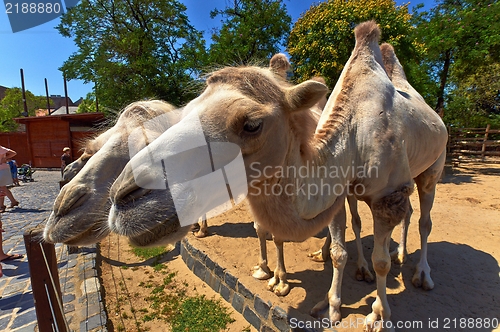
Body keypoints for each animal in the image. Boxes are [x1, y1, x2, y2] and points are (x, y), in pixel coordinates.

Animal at [107, 22, 448, 330]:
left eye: (251, 124)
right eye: (186, 112)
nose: (122, 197)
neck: (355, 131)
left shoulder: (387, 196)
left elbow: (381, 261)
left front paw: (378, 315)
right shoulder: (336, 191)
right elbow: (339, 251)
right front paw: (330, 307)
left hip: (433, 168)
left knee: (423, 219)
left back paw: (419, 272)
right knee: (374, 220)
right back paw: (362, 260)